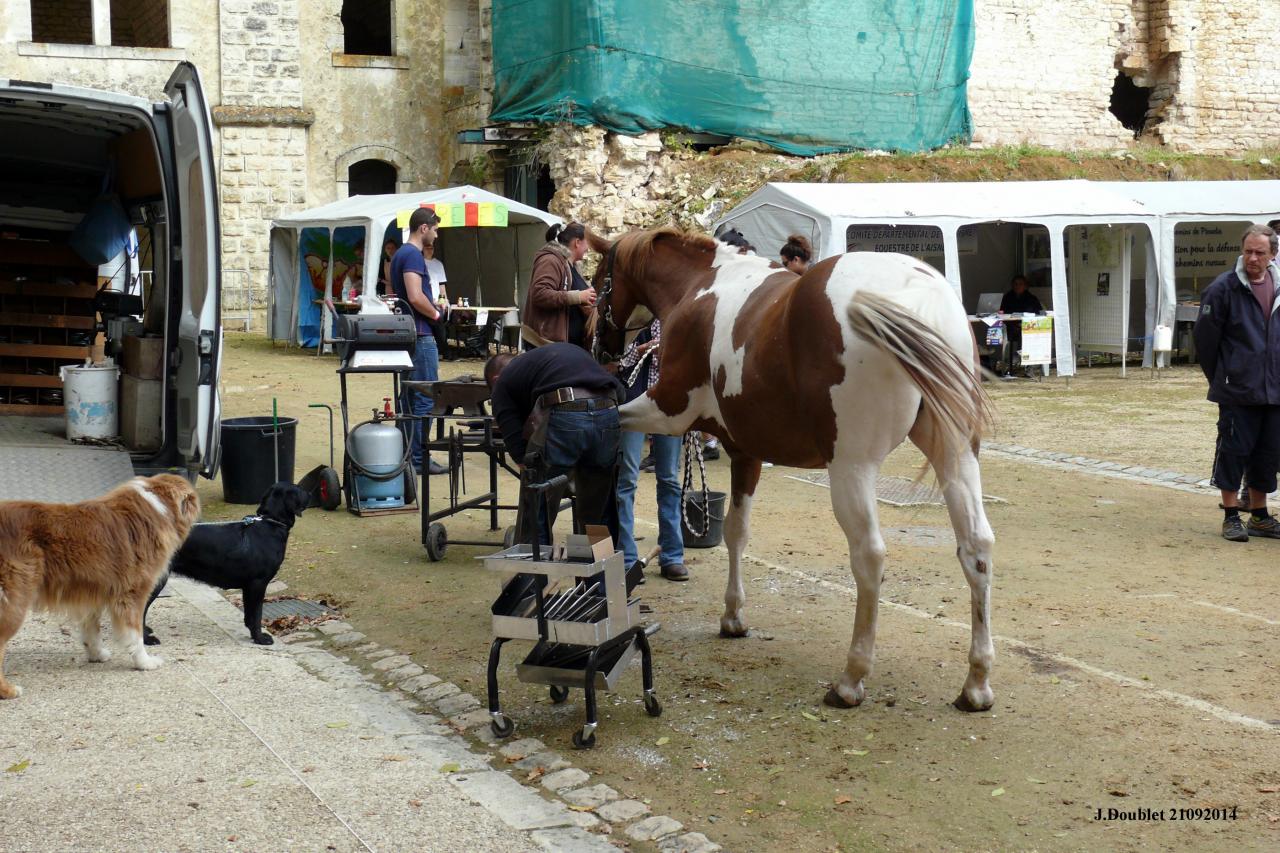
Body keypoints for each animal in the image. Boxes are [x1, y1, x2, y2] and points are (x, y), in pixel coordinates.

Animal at [588, 227, 996, 712]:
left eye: (597, 280)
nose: (601, 348)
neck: (701, 285)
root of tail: (917, 291)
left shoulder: (666, 411)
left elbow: (617, 420)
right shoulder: (745, 452)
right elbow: (736, 532)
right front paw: (733, 615)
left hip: (852, 468)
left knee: (870, 556)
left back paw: (851, 679)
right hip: (957, 456)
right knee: (976, 547)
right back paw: (976, 683)